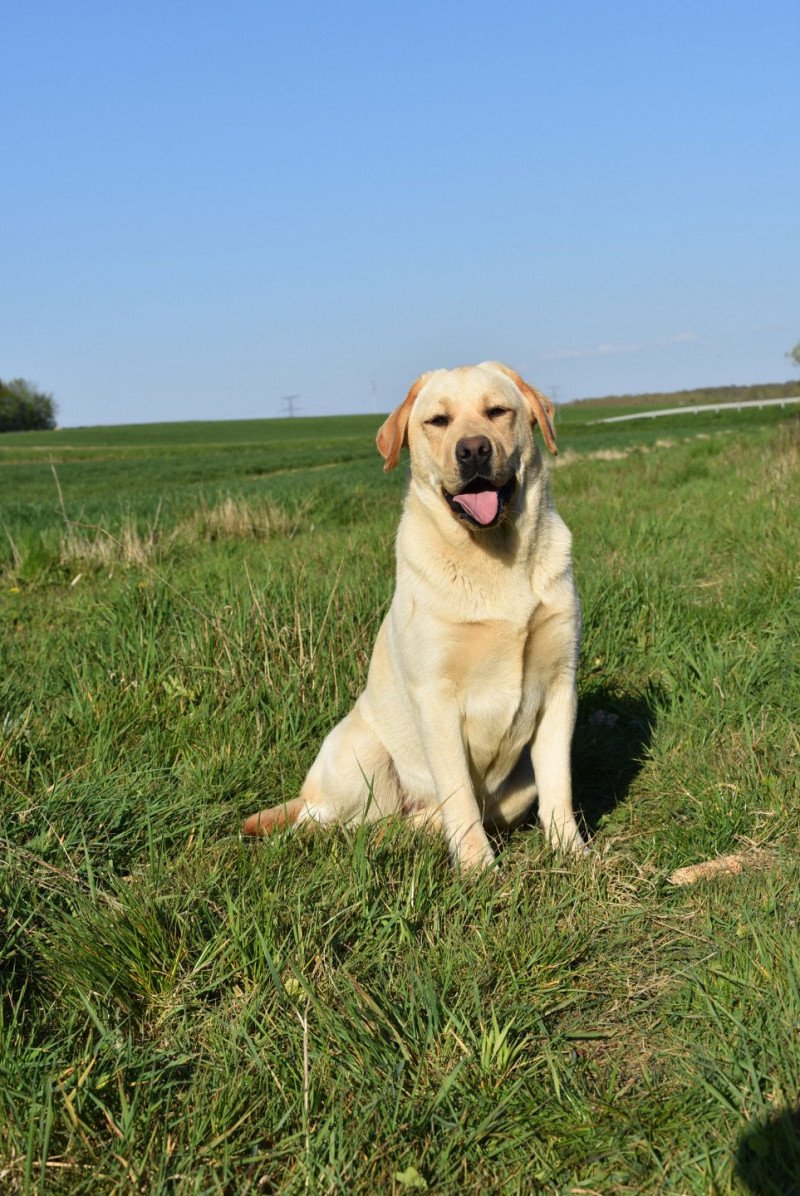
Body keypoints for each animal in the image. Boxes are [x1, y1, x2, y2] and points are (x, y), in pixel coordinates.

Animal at [240, 358, 583, 875]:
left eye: (498, 411)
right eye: (437, 421)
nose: (473, 449)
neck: (493, 557)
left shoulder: (560, 685)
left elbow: (558, 785)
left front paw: (573, 854)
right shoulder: (436, 699)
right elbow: (459, 793)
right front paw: (479, 871)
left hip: (515, 787)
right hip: (361, 753)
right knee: (324, 824)